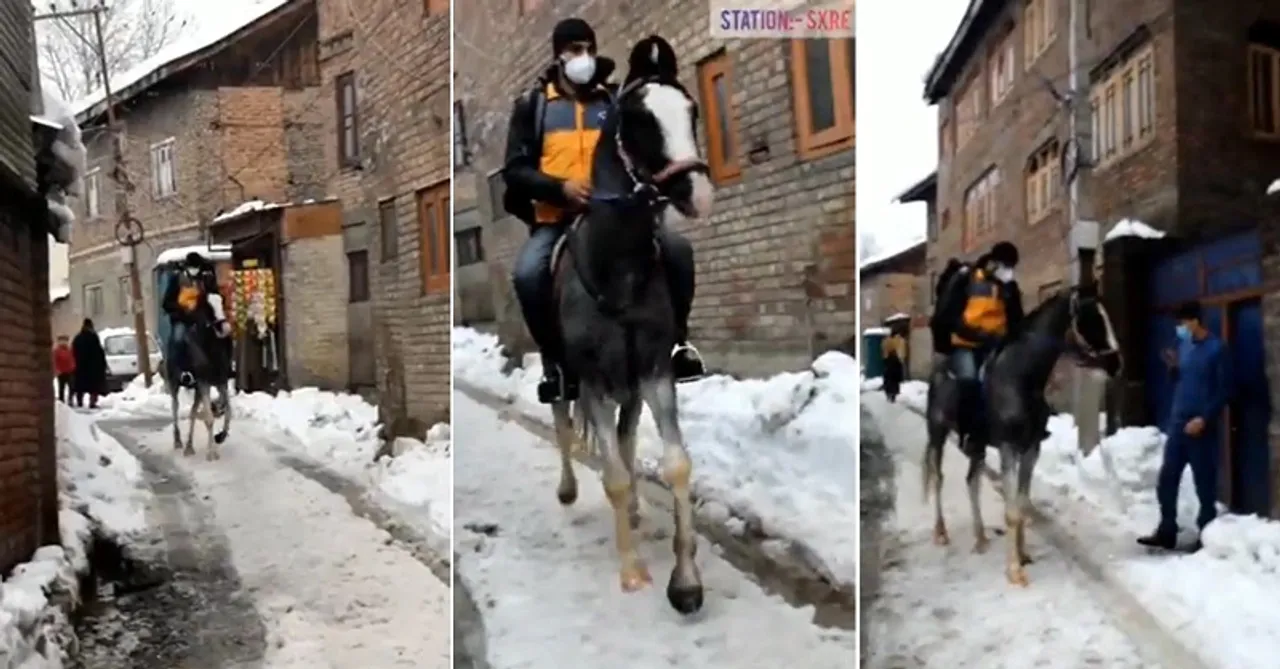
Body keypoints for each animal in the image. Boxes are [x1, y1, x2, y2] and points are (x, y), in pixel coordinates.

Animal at [547, 34, 716, 616]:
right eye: (638, 118)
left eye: (692, 110)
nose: (697, 192)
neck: (616, 263)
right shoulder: (593, 380)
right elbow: (615, 476)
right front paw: (632, 572)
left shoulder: (654, 369)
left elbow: (674, 463)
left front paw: (685, 581)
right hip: (565, 375)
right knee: (562, 421)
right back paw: (570, 489)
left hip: (631, 385)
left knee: (622, 436)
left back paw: (640, 514)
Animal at [921, 283, 1121, 585]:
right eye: (1091, 318)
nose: (1116, 363)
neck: (1020, 379)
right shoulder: (1008, 448)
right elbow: (1012, 510)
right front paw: (1014, 570)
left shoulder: (1031, 449)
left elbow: (1023, 504)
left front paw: (1023, 554)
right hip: (938, 432)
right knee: (938, 478)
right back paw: (941, 532)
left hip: (977, 444)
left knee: (972, 481)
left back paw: (980, 538)